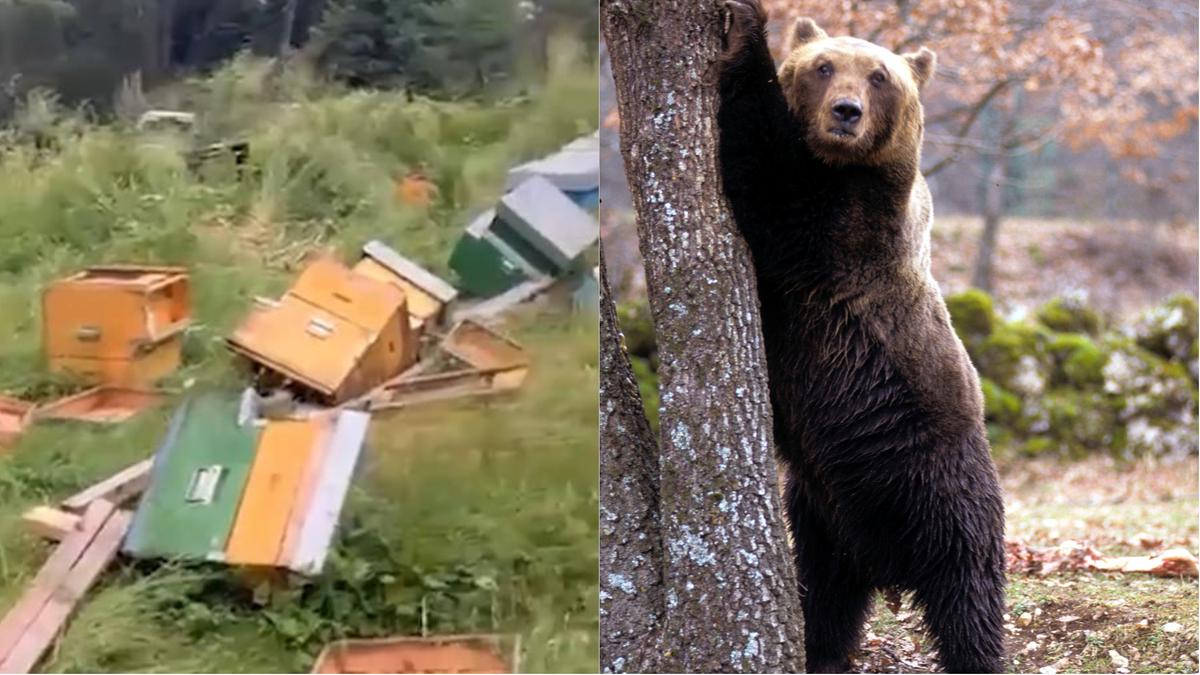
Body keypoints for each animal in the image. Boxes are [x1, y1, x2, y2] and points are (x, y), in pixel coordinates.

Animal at [714, 3, 1007, 673]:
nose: (845, 112)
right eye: (824, 66)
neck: (843, 165)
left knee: (969, 591)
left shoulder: (846, 232)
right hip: (821, 513)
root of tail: (887, 564)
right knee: (826, 596)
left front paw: (746, 30)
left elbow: (768, 176)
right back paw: (820, 652)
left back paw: (975, 654)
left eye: (879, 76)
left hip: (941, 487)